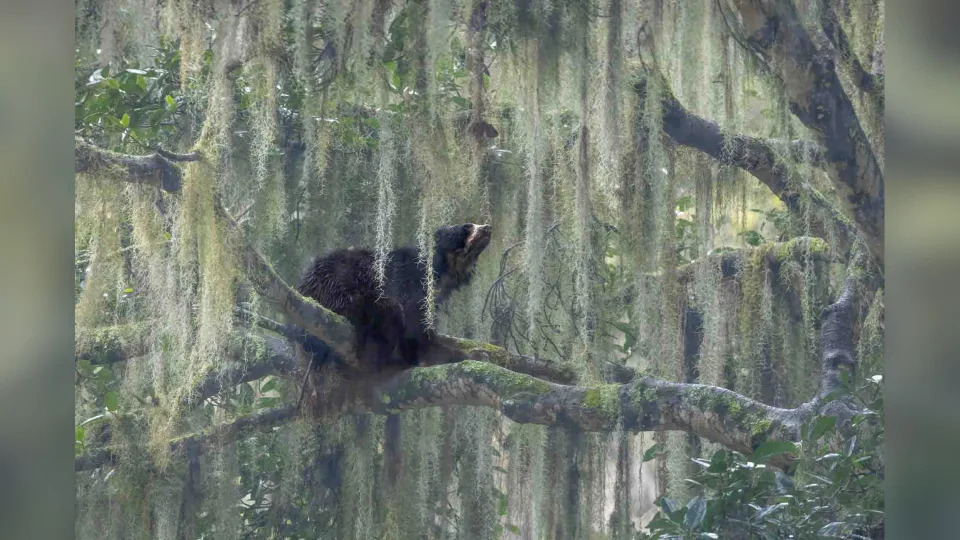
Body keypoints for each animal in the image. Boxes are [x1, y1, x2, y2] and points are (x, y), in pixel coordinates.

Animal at [298, 221, 496, 370]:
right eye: (467, 226)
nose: (487, 227)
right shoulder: (409, 283)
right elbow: (415, 328)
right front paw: (468, 354)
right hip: (340, 285)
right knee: (384, 313)